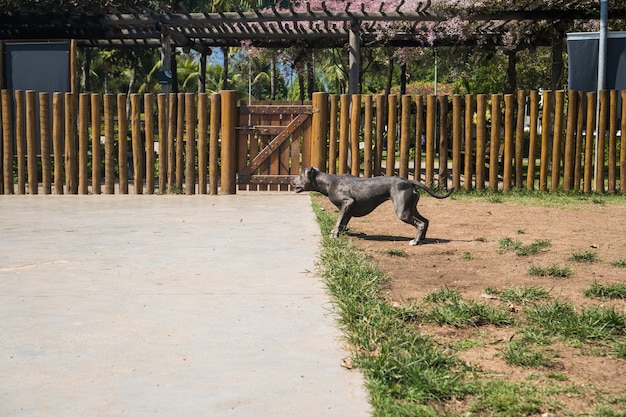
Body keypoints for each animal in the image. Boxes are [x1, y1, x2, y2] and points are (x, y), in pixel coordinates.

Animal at [290, 166, 450, 244]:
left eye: (300, 175)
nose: (291, 181)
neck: (328, 182)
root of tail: (408, 181)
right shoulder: (348, 208)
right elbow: (343, 221)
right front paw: (341, 232)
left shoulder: (347, 202)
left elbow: (338, 221)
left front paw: (334, 235)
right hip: (410, 207)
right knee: (425, 221)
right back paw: (421, 239)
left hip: (402, 211)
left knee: (420, 223)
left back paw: (415, 241)